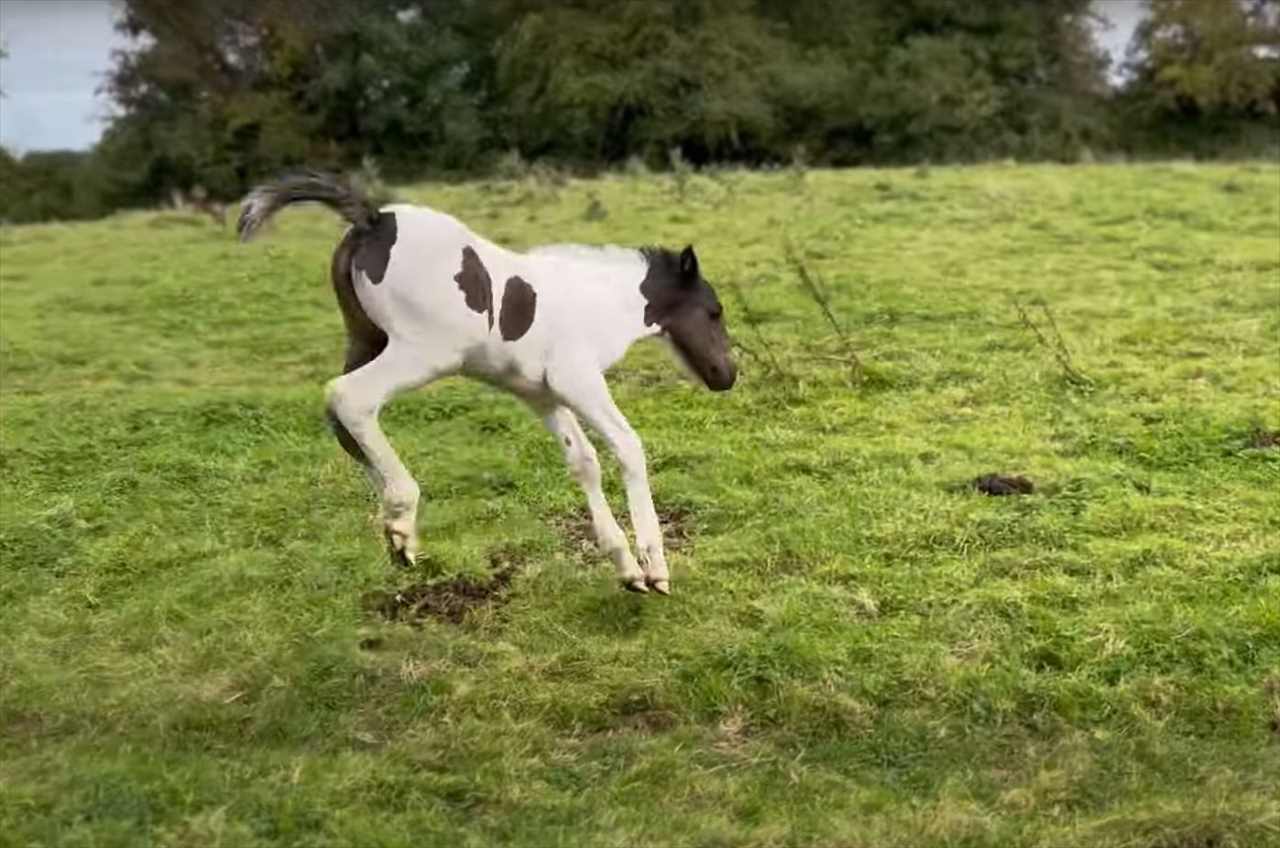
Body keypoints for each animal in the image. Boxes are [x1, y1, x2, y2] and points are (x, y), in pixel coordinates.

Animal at [238, 174, 742, 596]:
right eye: (713, 311)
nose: (726, 374)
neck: (596, 302)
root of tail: (374, 219)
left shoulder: (541, 394)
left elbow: (583, 462)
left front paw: (625, 568)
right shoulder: (577, 379)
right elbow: (627, 446)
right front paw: (655, 568)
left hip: (367, 339)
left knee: (341, 417)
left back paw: (393, 531)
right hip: (425, 352)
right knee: (350, 398)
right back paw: (403, 517)